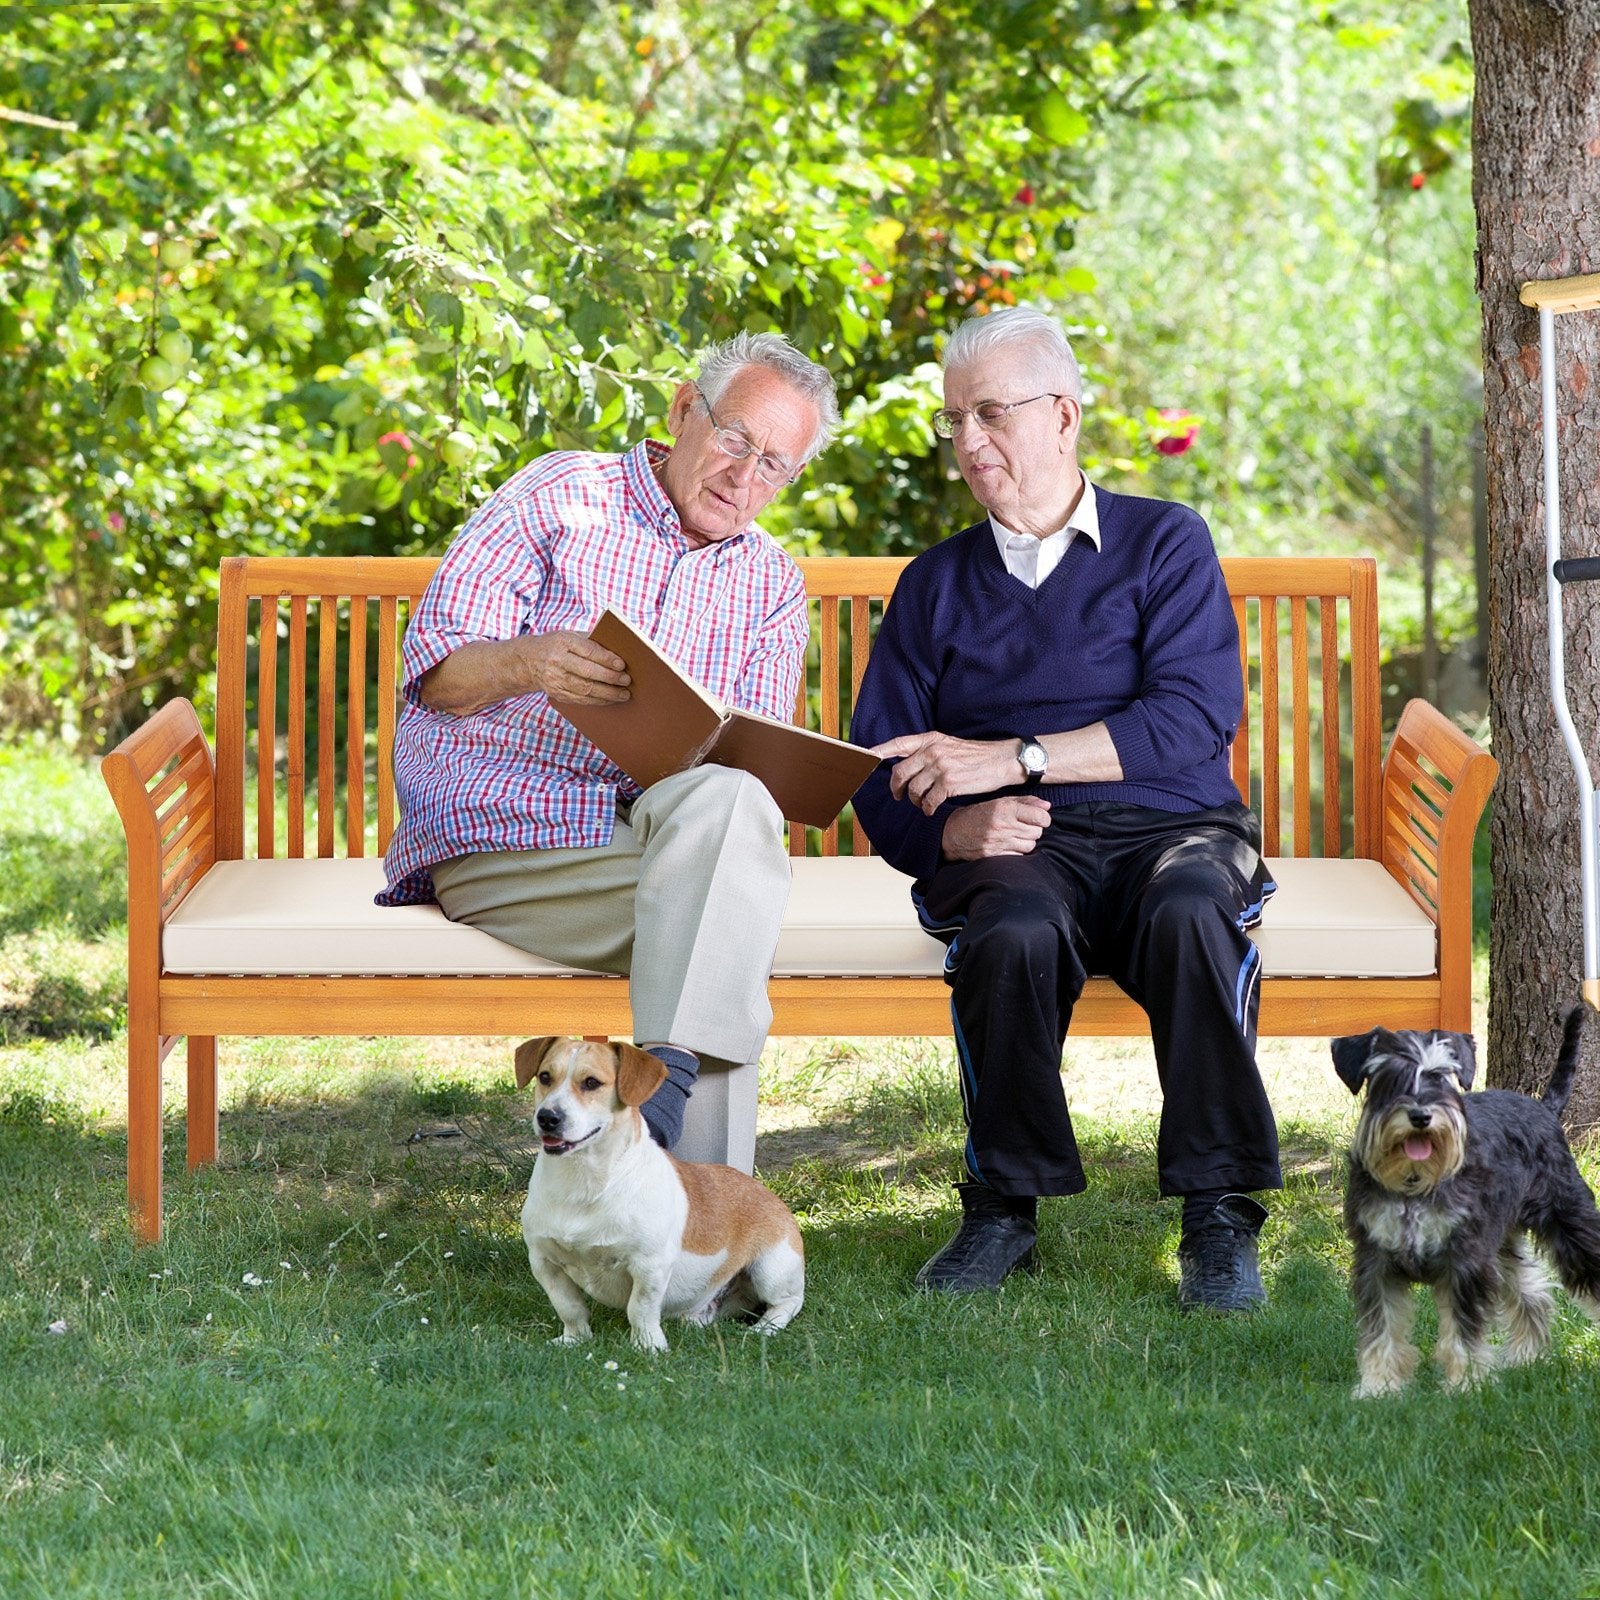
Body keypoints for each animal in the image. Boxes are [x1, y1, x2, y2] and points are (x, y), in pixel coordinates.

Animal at [518, 1036, 806, 1350]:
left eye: (591, 1082)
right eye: (545, 1077)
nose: (547, 1117)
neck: (582, 1184)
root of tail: (771, 1196)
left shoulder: (649, 1266)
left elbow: (640, 1309)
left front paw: (648, 1347)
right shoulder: (544, 1263)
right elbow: (569, 1307)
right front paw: (574, 1340)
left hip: (771, 1270)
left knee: (789, 1302)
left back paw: (764, 1328)